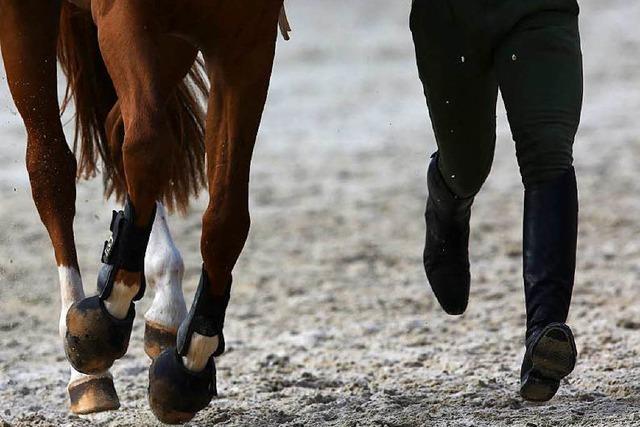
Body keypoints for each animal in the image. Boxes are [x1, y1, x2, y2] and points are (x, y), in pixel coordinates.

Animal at [0, 0, 290, 422]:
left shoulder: (246, 41)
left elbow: (227, 218)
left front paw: (191, 359)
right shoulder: (124, 18)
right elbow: (147, 148)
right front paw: (102, 321)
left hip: (174, 44)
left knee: (118, 126)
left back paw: (165, 307)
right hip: (27, 18)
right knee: (52, 167)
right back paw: (85, 372)